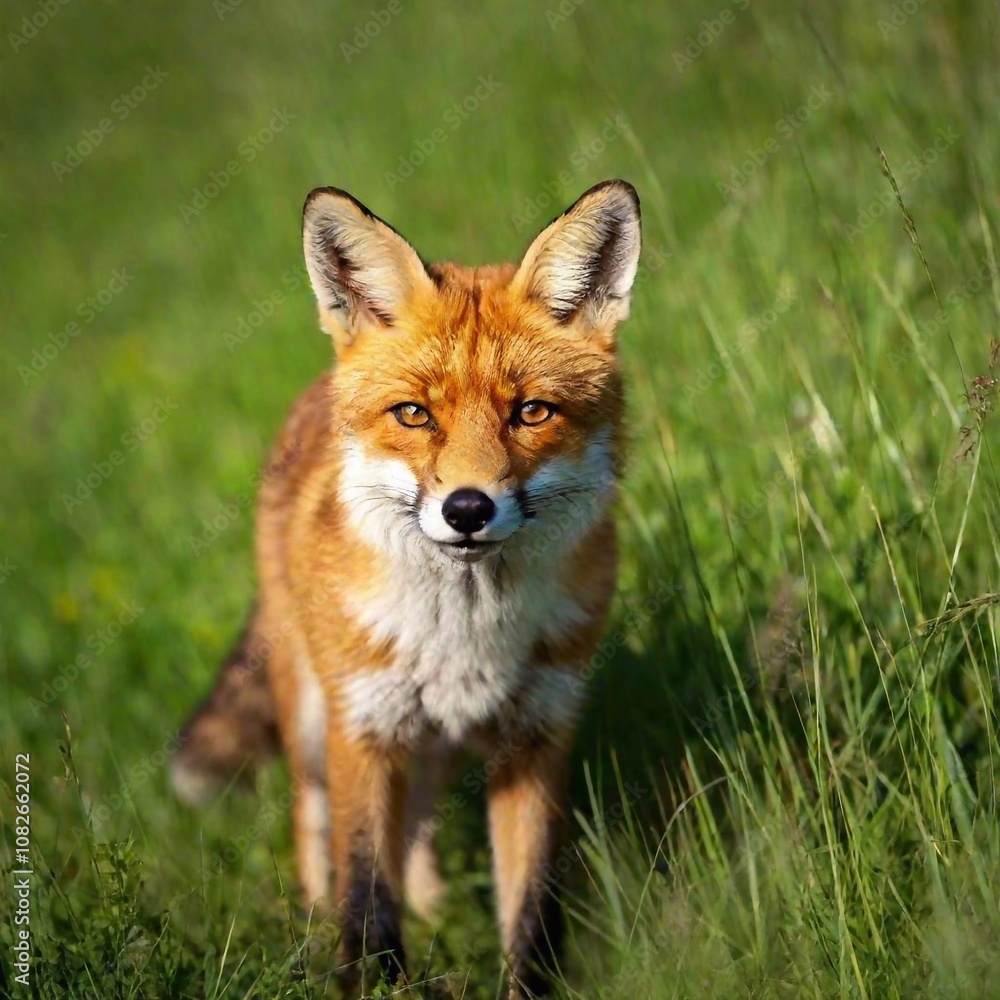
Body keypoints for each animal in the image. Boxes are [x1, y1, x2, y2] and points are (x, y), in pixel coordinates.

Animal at [171, 178, 642, 997]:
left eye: (532, 411)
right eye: (415, 414)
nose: (468, 509)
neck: (465, 635)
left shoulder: (535, 737)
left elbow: (530, 912)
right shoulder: (363, 732)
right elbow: (366, 897)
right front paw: (369, 973)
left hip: (441, 740)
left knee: (418, 821)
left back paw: (433, 905)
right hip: (314, 717)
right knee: (312, 820)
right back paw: (311, 919)